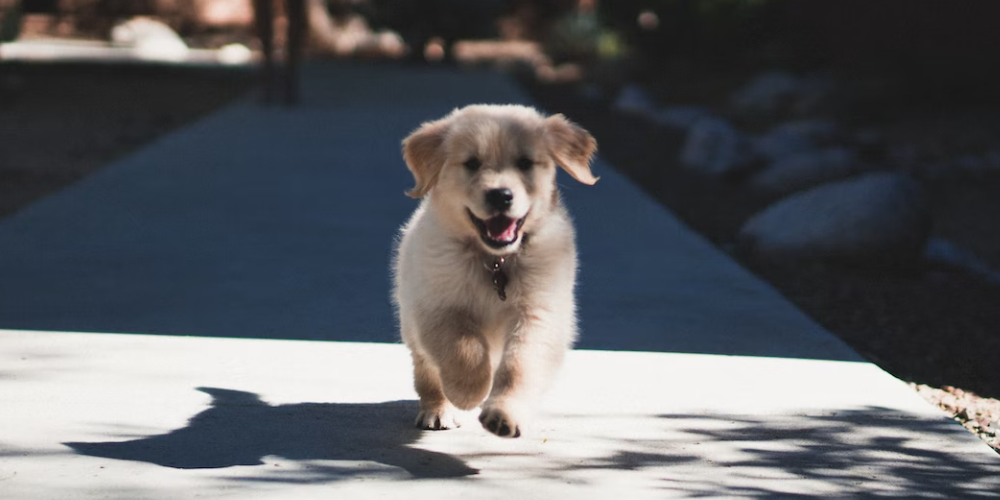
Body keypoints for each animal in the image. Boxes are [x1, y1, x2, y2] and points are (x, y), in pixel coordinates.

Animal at [390, 105, 592, 438]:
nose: (500, 195)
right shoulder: (436, 306)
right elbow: (464, 348)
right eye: (472, 163)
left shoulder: (539, 313)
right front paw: (468, 392)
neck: (496, 261)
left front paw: (504, 414)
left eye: (525, 163)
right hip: (411, 325)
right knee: (427, 373)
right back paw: (438, 410)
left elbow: (520, 366)